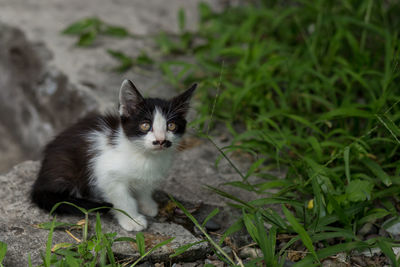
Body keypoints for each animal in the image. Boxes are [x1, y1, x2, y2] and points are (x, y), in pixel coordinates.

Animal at [30, 80, 196, 232]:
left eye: (171, 126)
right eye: (145, 125)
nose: (161, 141)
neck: (144, 155)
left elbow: (144, 190)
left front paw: (147, 205)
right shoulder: (106, 175)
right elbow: (123, 200)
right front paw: (132, 220)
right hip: (66, 168)